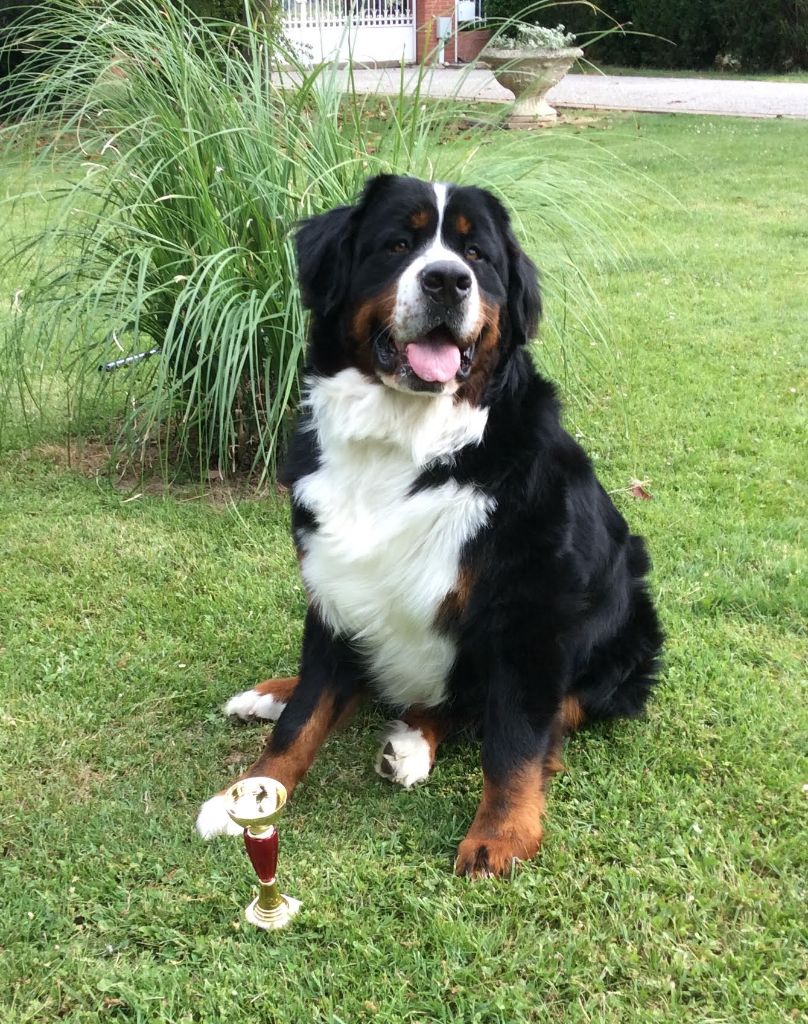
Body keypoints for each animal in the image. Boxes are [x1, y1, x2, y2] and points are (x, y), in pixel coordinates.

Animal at [196, 172, 663, 876]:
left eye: (477, 256)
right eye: (397, 244)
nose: (447, 280)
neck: (403, 442)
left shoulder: (530, 611)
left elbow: (515, 739)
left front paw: (502, 834)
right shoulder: (333, 585)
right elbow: (304, 715)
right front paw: (249, 795)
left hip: (627, 627)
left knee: (512, 708)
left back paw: (414, 742)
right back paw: (271, 693)